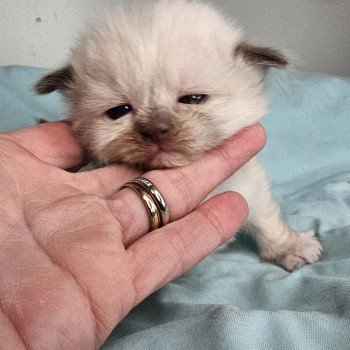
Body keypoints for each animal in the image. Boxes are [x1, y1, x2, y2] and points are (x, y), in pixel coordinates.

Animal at [35, 0, 322, 270]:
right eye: (119, 111)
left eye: (193, 99)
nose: (156, 130)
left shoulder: (250, 186)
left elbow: (266, 220)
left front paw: (290, 247)